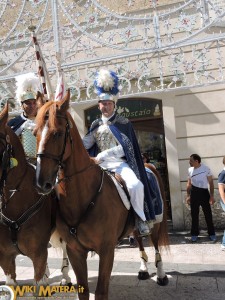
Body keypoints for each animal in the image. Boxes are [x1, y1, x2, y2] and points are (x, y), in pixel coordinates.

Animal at [34, 90, 169, 298]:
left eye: (57, 133)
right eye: (35, 133)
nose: (42, 183)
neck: (82, 198)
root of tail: (149, 164)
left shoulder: (107, 250)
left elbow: (100, 292)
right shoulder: (74, 251)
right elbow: (83, 290)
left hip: (156, 222)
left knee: (155, 245)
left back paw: (161, 275)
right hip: (135, 225)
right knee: (139, 239)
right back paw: (143, 269)